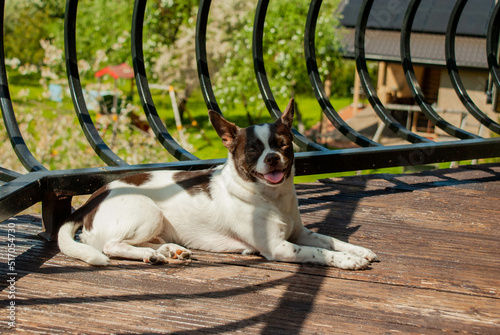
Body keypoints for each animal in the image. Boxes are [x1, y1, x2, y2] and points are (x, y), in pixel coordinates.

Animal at [57, 99, 378, 270]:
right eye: (252, 150)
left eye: (283, 145)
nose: (272, 158)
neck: (271, 197)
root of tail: (92, 199)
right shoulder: (279, 247)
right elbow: (319, 253)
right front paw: (347, 260)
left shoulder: (300, 233)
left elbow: (330, 240)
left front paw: (357, 250)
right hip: (147, 212)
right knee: (111, 245)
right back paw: (150, 254)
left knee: (138, 242)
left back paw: (168, 250)